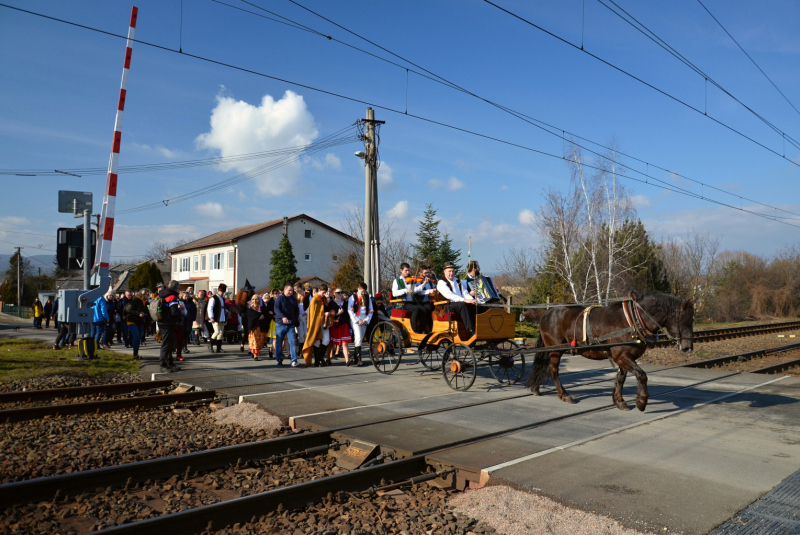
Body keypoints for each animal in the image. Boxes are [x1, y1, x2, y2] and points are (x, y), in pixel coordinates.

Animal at [528, 292, 692, 412]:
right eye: (683, 320)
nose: (688, 346)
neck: (632, 320)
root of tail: (548, 312)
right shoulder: (622, 356)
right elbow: (642, 375)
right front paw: (641, 401)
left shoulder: (625, 357)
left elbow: (621, 378)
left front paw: (619, 401)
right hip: (555, 348)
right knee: (553, 369)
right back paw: (564, 395)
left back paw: (536, 388)